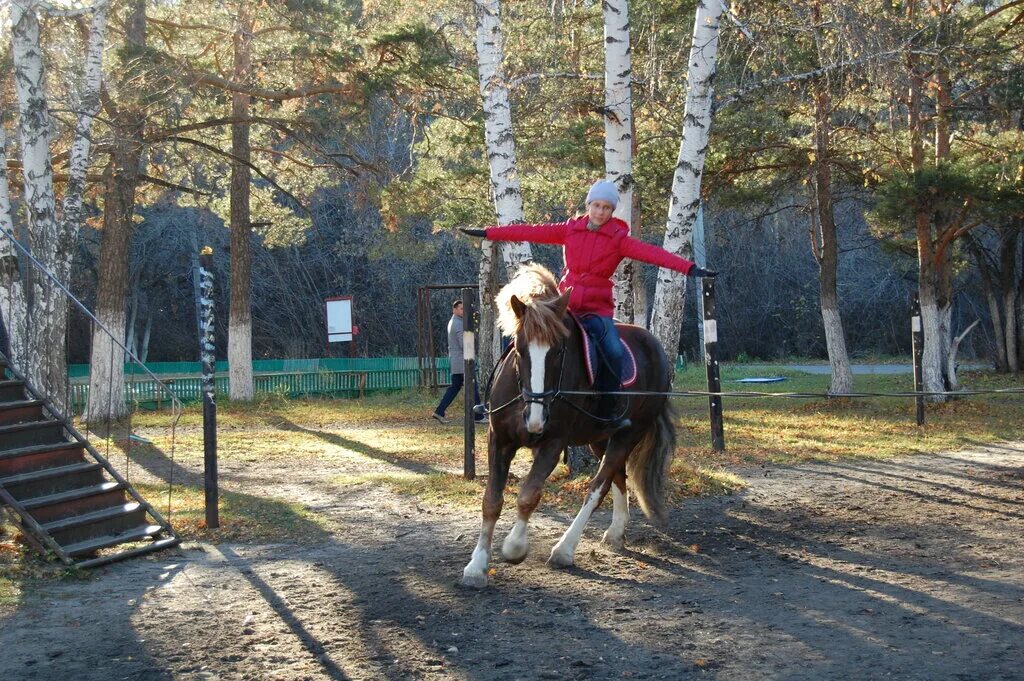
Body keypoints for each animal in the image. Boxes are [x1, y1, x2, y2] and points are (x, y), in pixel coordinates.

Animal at [460, 262, 675, 585]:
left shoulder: (553, 443)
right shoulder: (499, 440)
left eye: (559, 351)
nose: (535, 420)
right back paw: (615, 532)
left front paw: (514, 547)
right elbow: (491, 501)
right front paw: (477, 564)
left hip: (629, 434)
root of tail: (655, 347)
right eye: (519, 349)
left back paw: (564, 549)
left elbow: (528, 495)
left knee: (598, 486)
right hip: (601, 438)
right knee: (617, 476)